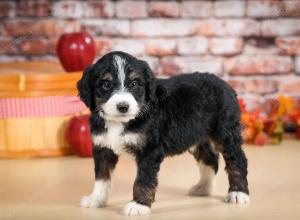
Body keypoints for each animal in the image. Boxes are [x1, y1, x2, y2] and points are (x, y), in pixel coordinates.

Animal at [77, 50, 248, 216]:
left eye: (134, 83)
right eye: (106, 85)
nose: (123, 106)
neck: (120, 122)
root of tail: (226, 85)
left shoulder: (149, 150)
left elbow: (143, 179)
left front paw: (139, 205)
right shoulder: (103, 147)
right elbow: (102, 177)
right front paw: (95, 199)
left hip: (226, 133)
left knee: (237, 160)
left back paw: (238, 193)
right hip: (199, 137)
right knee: (210, 159)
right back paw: (203, 188)